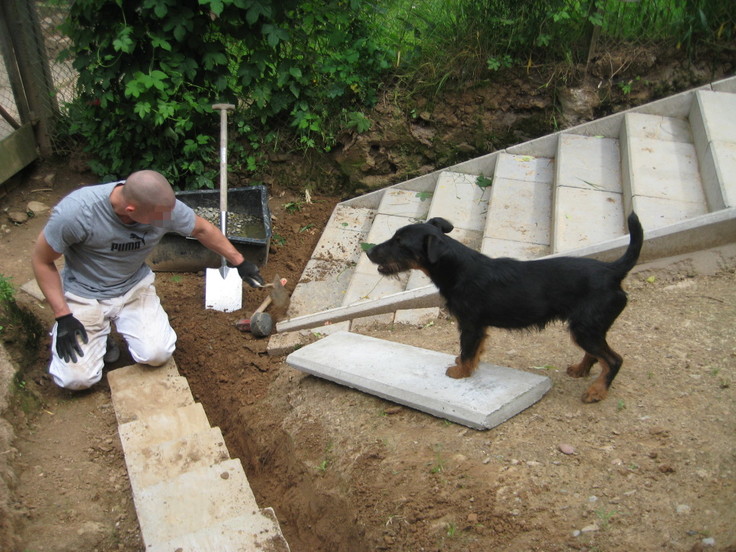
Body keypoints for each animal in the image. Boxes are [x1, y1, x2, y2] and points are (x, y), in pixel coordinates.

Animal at [368, 213, 644, 404]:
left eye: (400, 243)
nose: (369, 252)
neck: (457, 267)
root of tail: (612, 270)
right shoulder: (479, 327)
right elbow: (474, 351)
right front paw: (467, 366)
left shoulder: (470, 325)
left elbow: (467, 350)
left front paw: (460, 371)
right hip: (587, 327)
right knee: (598, 354)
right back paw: (581, 370)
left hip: (585, 328)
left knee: (613, 360)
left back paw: (597, 391)